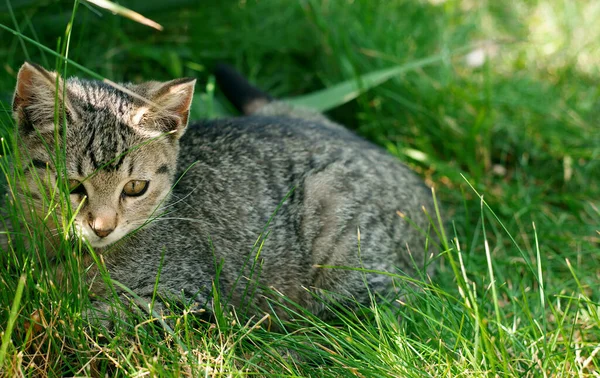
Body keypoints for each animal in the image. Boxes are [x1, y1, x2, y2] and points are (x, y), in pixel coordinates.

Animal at [3, 62, 436, 324]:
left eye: (135, 187)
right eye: (71, 187)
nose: (103, 228)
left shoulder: (184, 294)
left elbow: (98, 319)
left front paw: (51, 318)